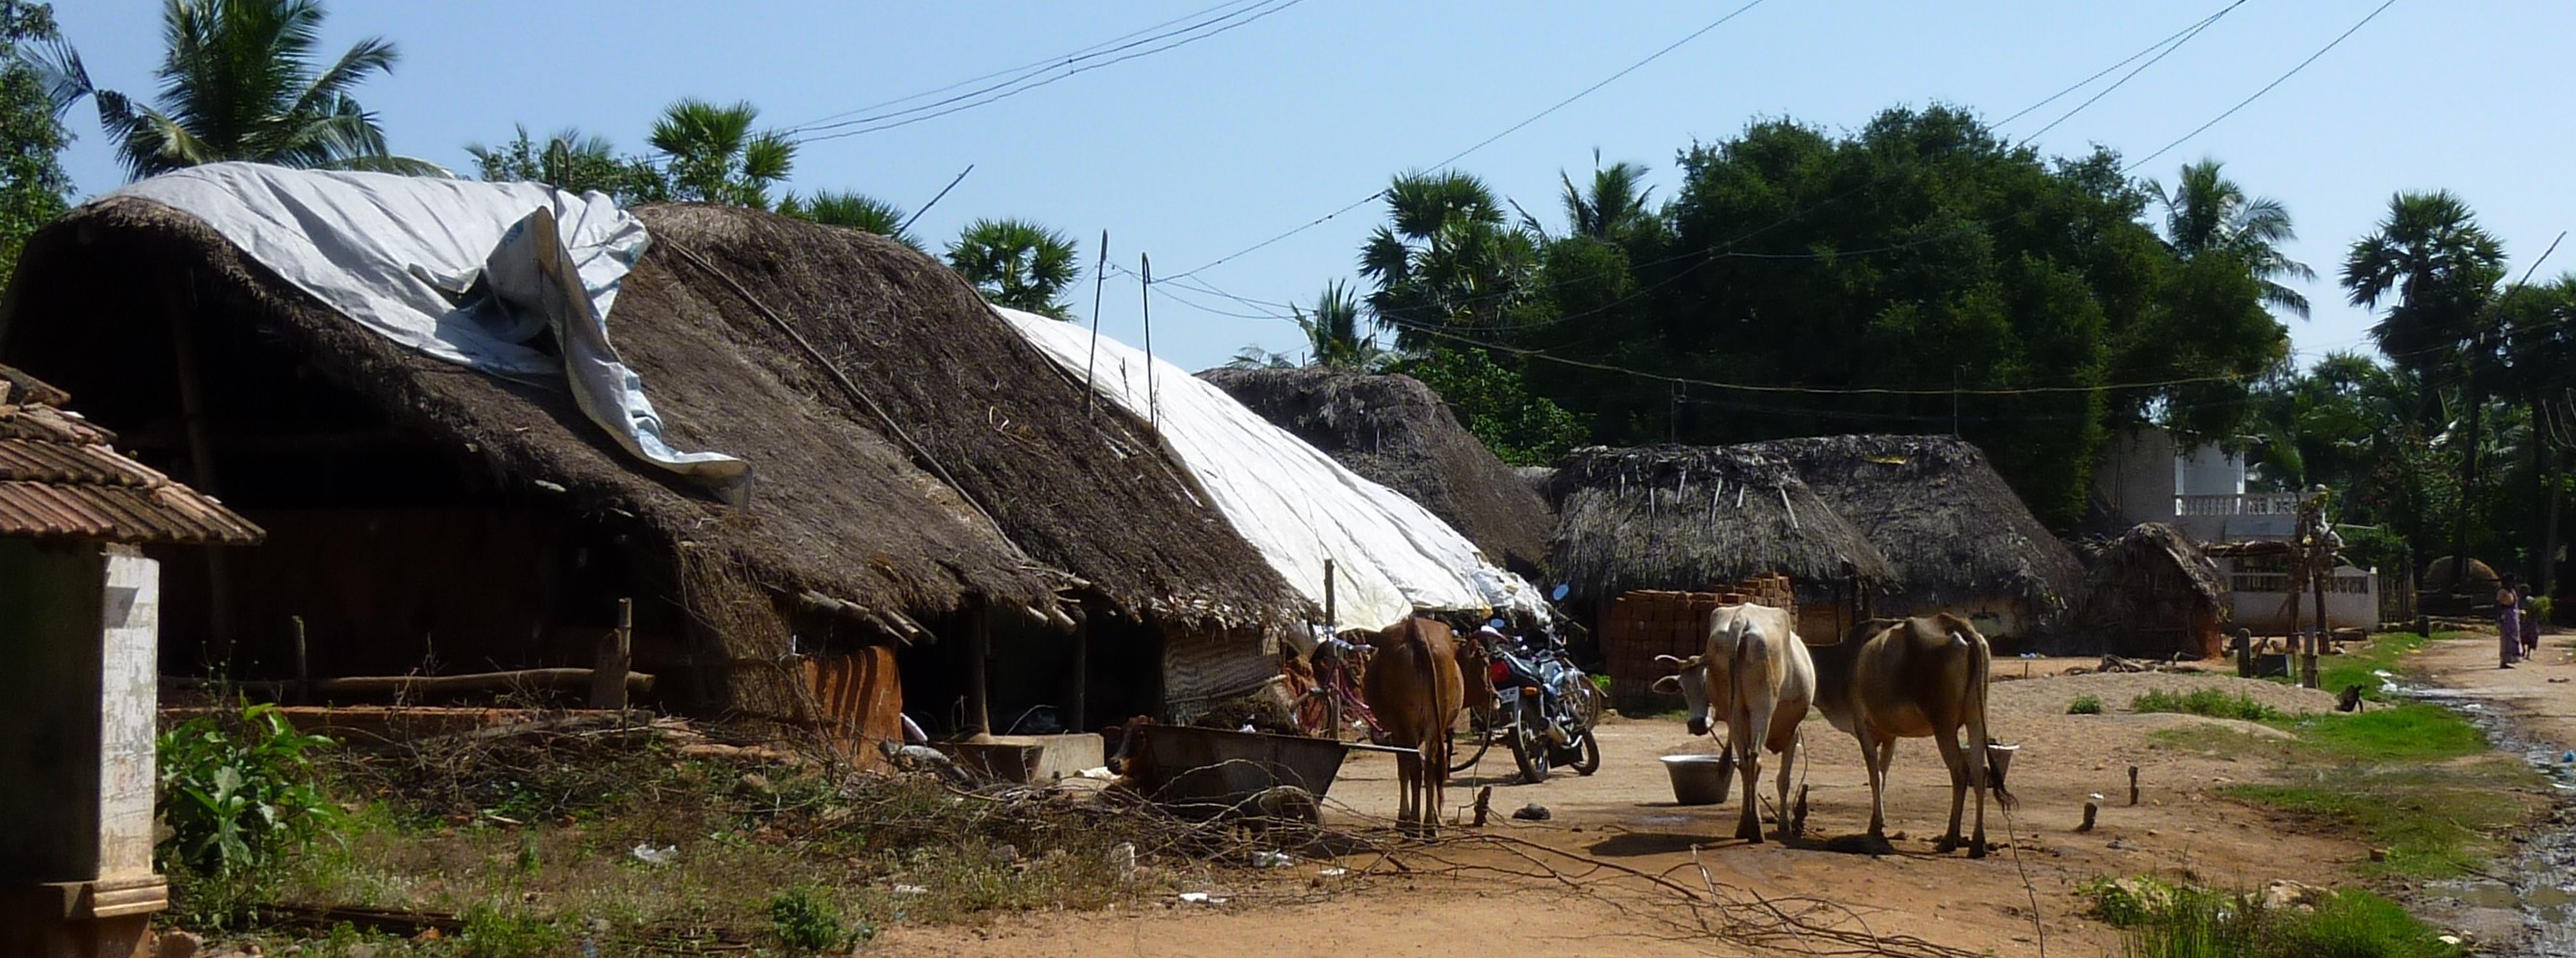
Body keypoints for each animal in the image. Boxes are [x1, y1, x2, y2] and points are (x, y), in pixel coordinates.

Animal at [1359, 618, 1462, 834]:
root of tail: (1416, 628)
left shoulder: (1398, 732)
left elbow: (1403, 770)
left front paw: (1403, 817)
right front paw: (1436, 817)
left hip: (1406, 721)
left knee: (1416, 766)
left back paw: (1414, 824)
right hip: (1435, 720)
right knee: (1431, 764)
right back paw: (1429, 826)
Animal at [1813, 618, 2009, 855]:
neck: (1842, 661)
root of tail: (1960, 627)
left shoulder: (1862, 727)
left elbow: (1874, 776)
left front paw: (1877, 825)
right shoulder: (1890, 736)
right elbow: (1882, 775)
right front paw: (1875, 825)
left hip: (1944, 726)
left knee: (1960, 770)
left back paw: (1949, 839)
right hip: (1976, 718)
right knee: (1981, 771)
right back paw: (1977, 844)